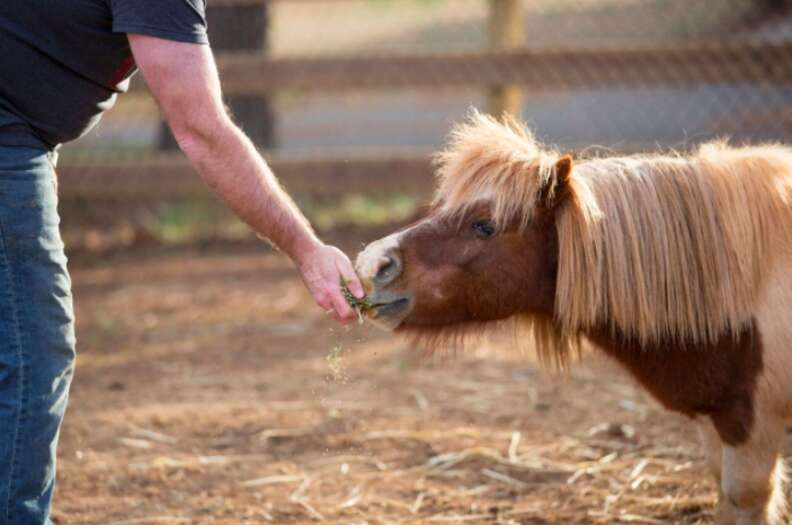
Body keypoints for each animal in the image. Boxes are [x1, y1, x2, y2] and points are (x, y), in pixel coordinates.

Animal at [356, 112, 792, 520]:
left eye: (485, 226)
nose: (371, 264)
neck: (746, 278)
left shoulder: (752, 425)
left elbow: (743, 496)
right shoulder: (716, 418)